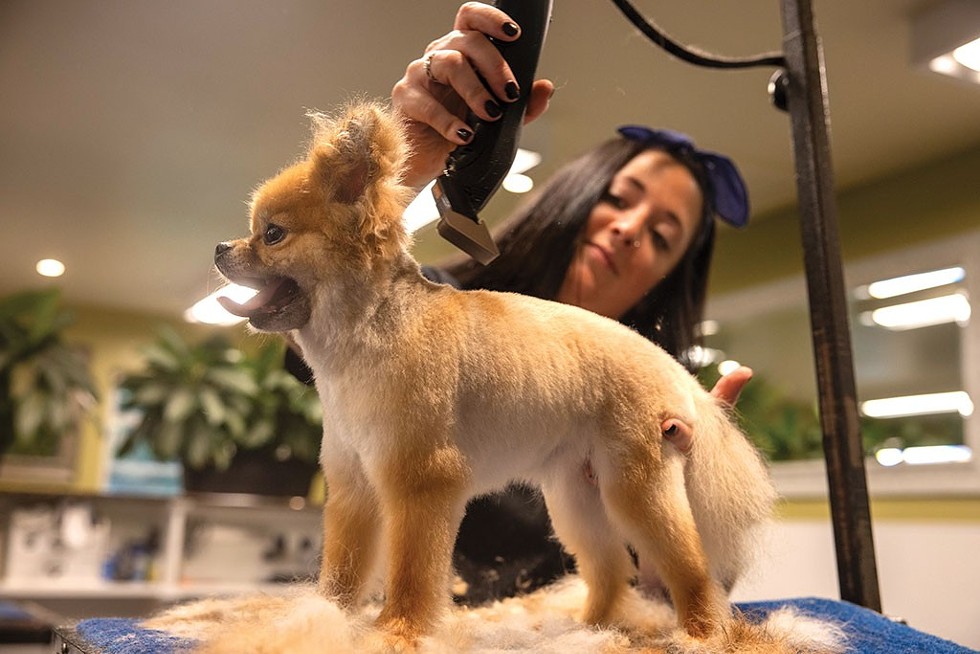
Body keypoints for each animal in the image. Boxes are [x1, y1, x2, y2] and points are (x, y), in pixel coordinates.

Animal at [212, 104, 772, 652]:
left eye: (272, 235)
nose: (221, 247)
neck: (367, 331)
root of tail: (669, 366)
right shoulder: (354, 488)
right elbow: (342, 573)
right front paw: (327, 618)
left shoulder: (421, 484)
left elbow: (411, 574)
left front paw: (399, 631)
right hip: (576, 497)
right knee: (611, 567)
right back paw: (590, 628)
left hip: (635, 490)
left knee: (689, 565)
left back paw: (700, 633)